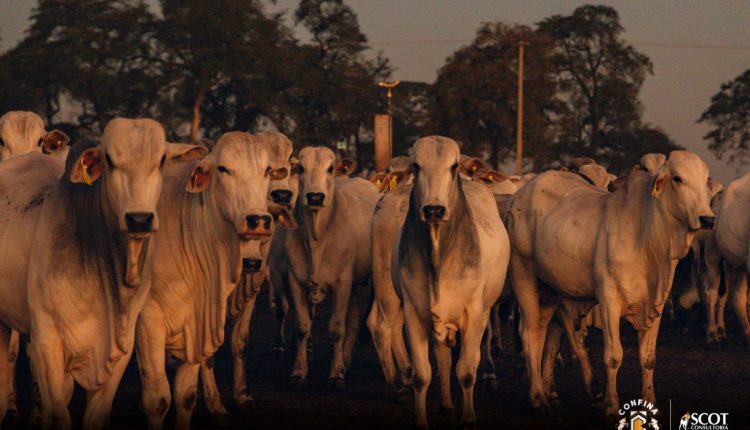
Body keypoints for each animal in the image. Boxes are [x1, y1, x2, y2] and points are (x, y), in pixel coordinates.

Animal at [394, 137, 512, 426]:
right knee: (443, 357)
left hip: (485, 309)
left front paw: (468, 418)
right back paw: (447, 405)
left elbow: (467, 371)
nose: (434, 209)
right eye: (416, 165)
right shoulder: (414, 314)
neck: (438, 253)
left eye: (453, 166)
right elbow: (422, 374)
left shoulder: (474, 312)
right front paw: (420, 420)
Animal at [508, 150, 712, 416]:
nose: (708, 219)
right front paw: (611, 405)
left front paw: (650, 402)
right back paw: (538, 397)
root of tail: (521, 192)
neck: (647, 240)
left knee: (544, 334)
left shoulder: (656, 304)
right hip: (524, 273)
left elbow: (648, 358)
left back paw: (547, 391)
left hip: (551, 289)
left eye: (705, 179)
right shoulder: (609, 301)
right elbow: (614, 356)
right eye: (678, 178)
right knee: (530, 333)